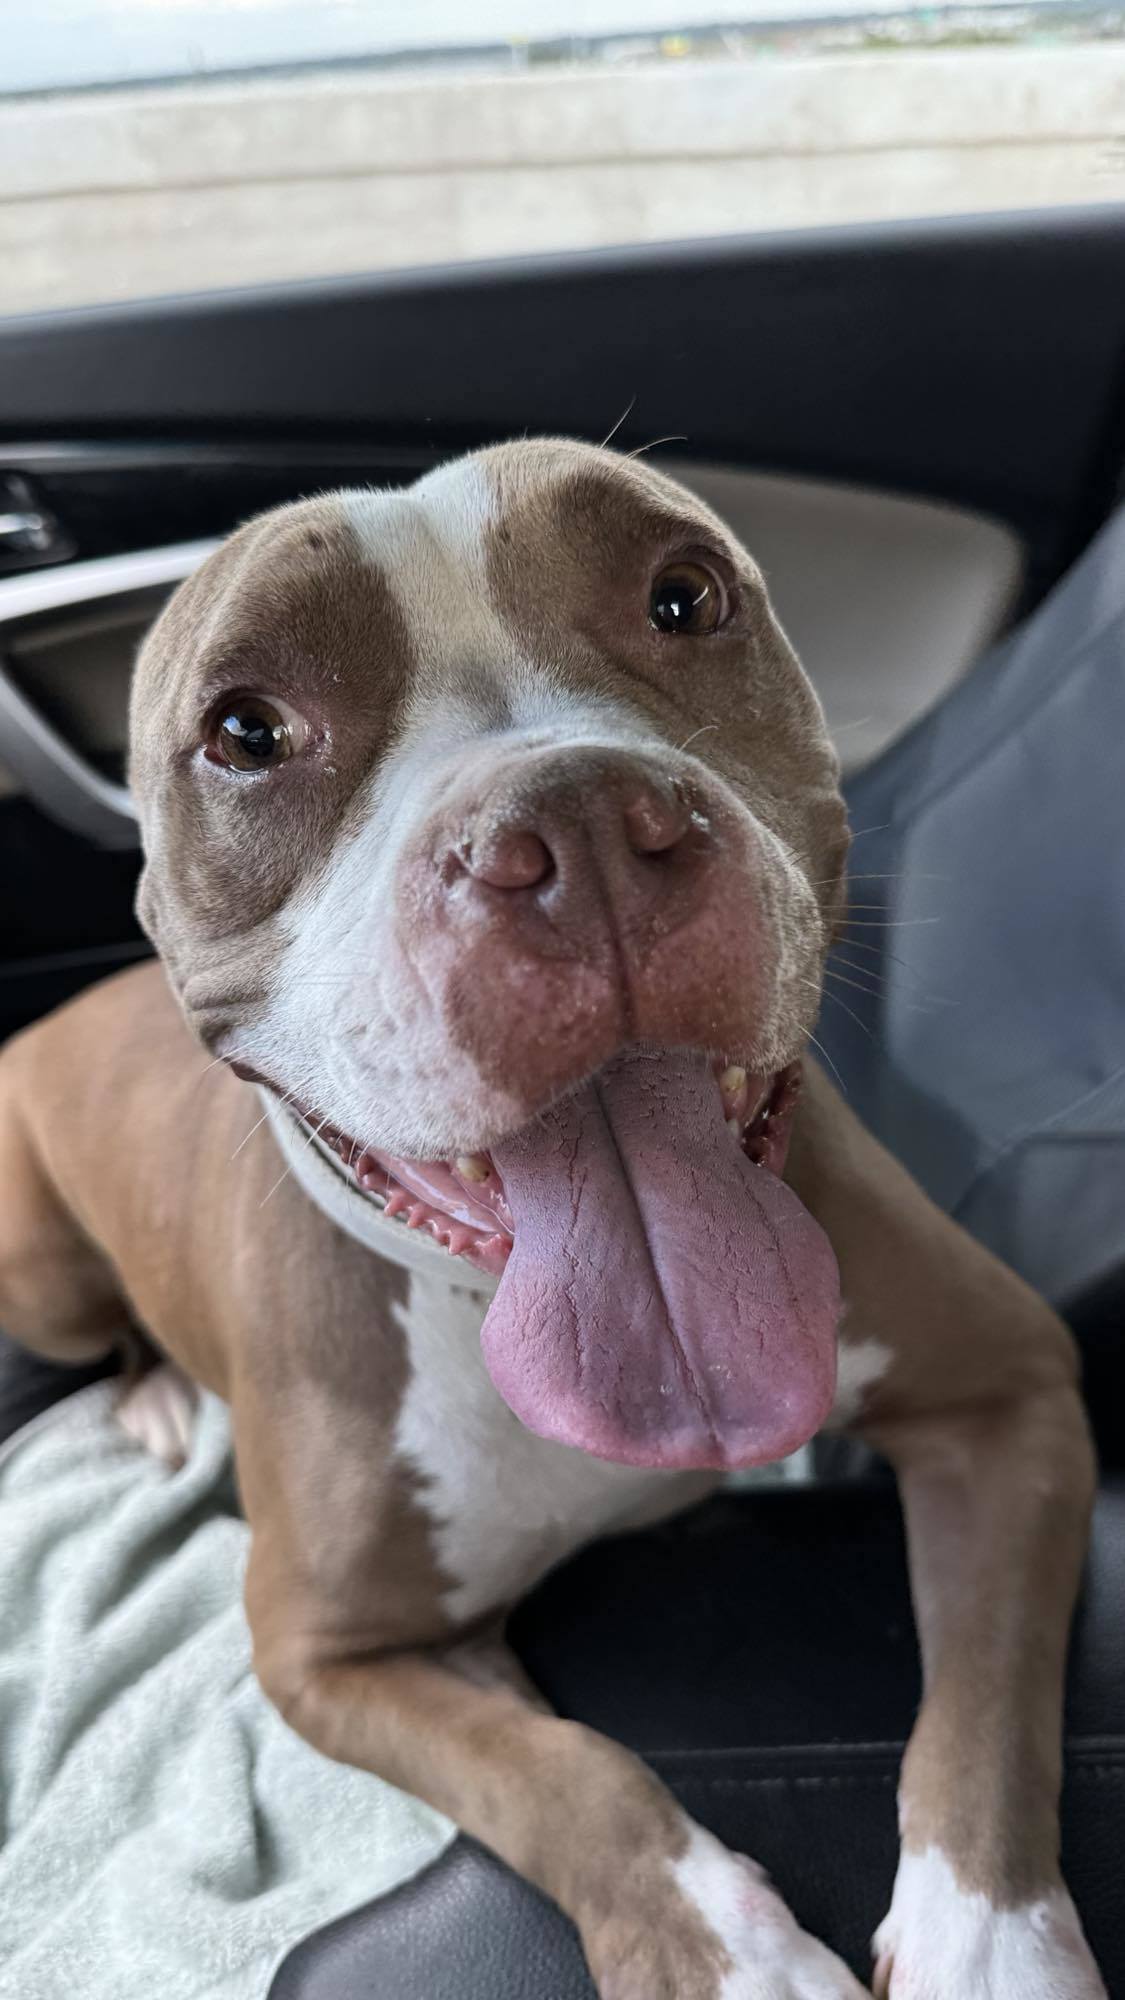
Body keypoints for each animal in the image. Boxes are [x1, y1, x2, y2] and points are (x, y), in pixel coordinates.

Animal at [0, 446, 1104, 1992]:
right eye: (246, 729)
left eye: (683, 595)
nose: (579, 824)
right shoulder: (326, 1655)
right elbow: (570, 1779)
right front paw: (732, 1955)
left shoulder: (1012, 1391)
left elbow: (992, 1705)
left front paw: (991, 1949)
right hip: (37, 1266)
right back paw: (154, 1394)